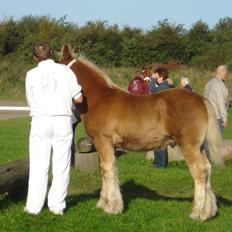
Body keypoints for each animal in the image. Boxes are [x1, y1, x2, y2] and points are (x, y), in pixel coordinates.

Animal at [59, 44, 223, 221]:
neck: (100, 99)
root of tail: (201, 99)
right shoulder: (103, 145)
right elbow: (105, 170)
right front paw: (103, 203)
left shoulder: (103, 142)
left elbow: (108, 170)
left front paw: (112, 207)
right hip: (199, 147)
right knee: (208, 169)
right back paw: (209, 211)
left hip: (189, 145)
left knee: (200, 171)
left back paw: (197, 212)